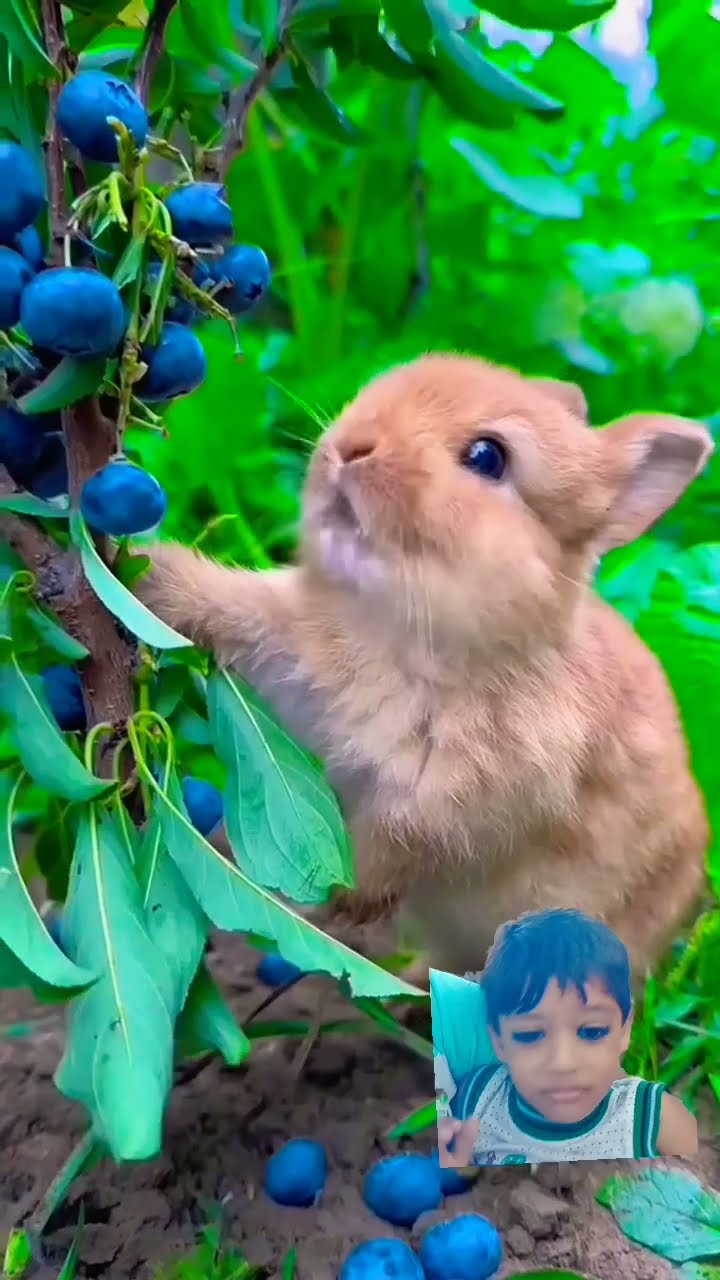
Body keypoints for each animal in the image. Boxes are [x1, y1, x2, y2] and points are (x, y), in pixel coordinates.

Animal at [133, 352, 712, 985]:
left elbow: (398, 844)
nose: (351, 447)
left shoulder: (458, 802)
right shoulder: (293, 658)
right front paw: (140, 571)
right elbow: (230, 606)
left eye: (487, 457)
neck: (404, 640)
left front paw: (334, 892)